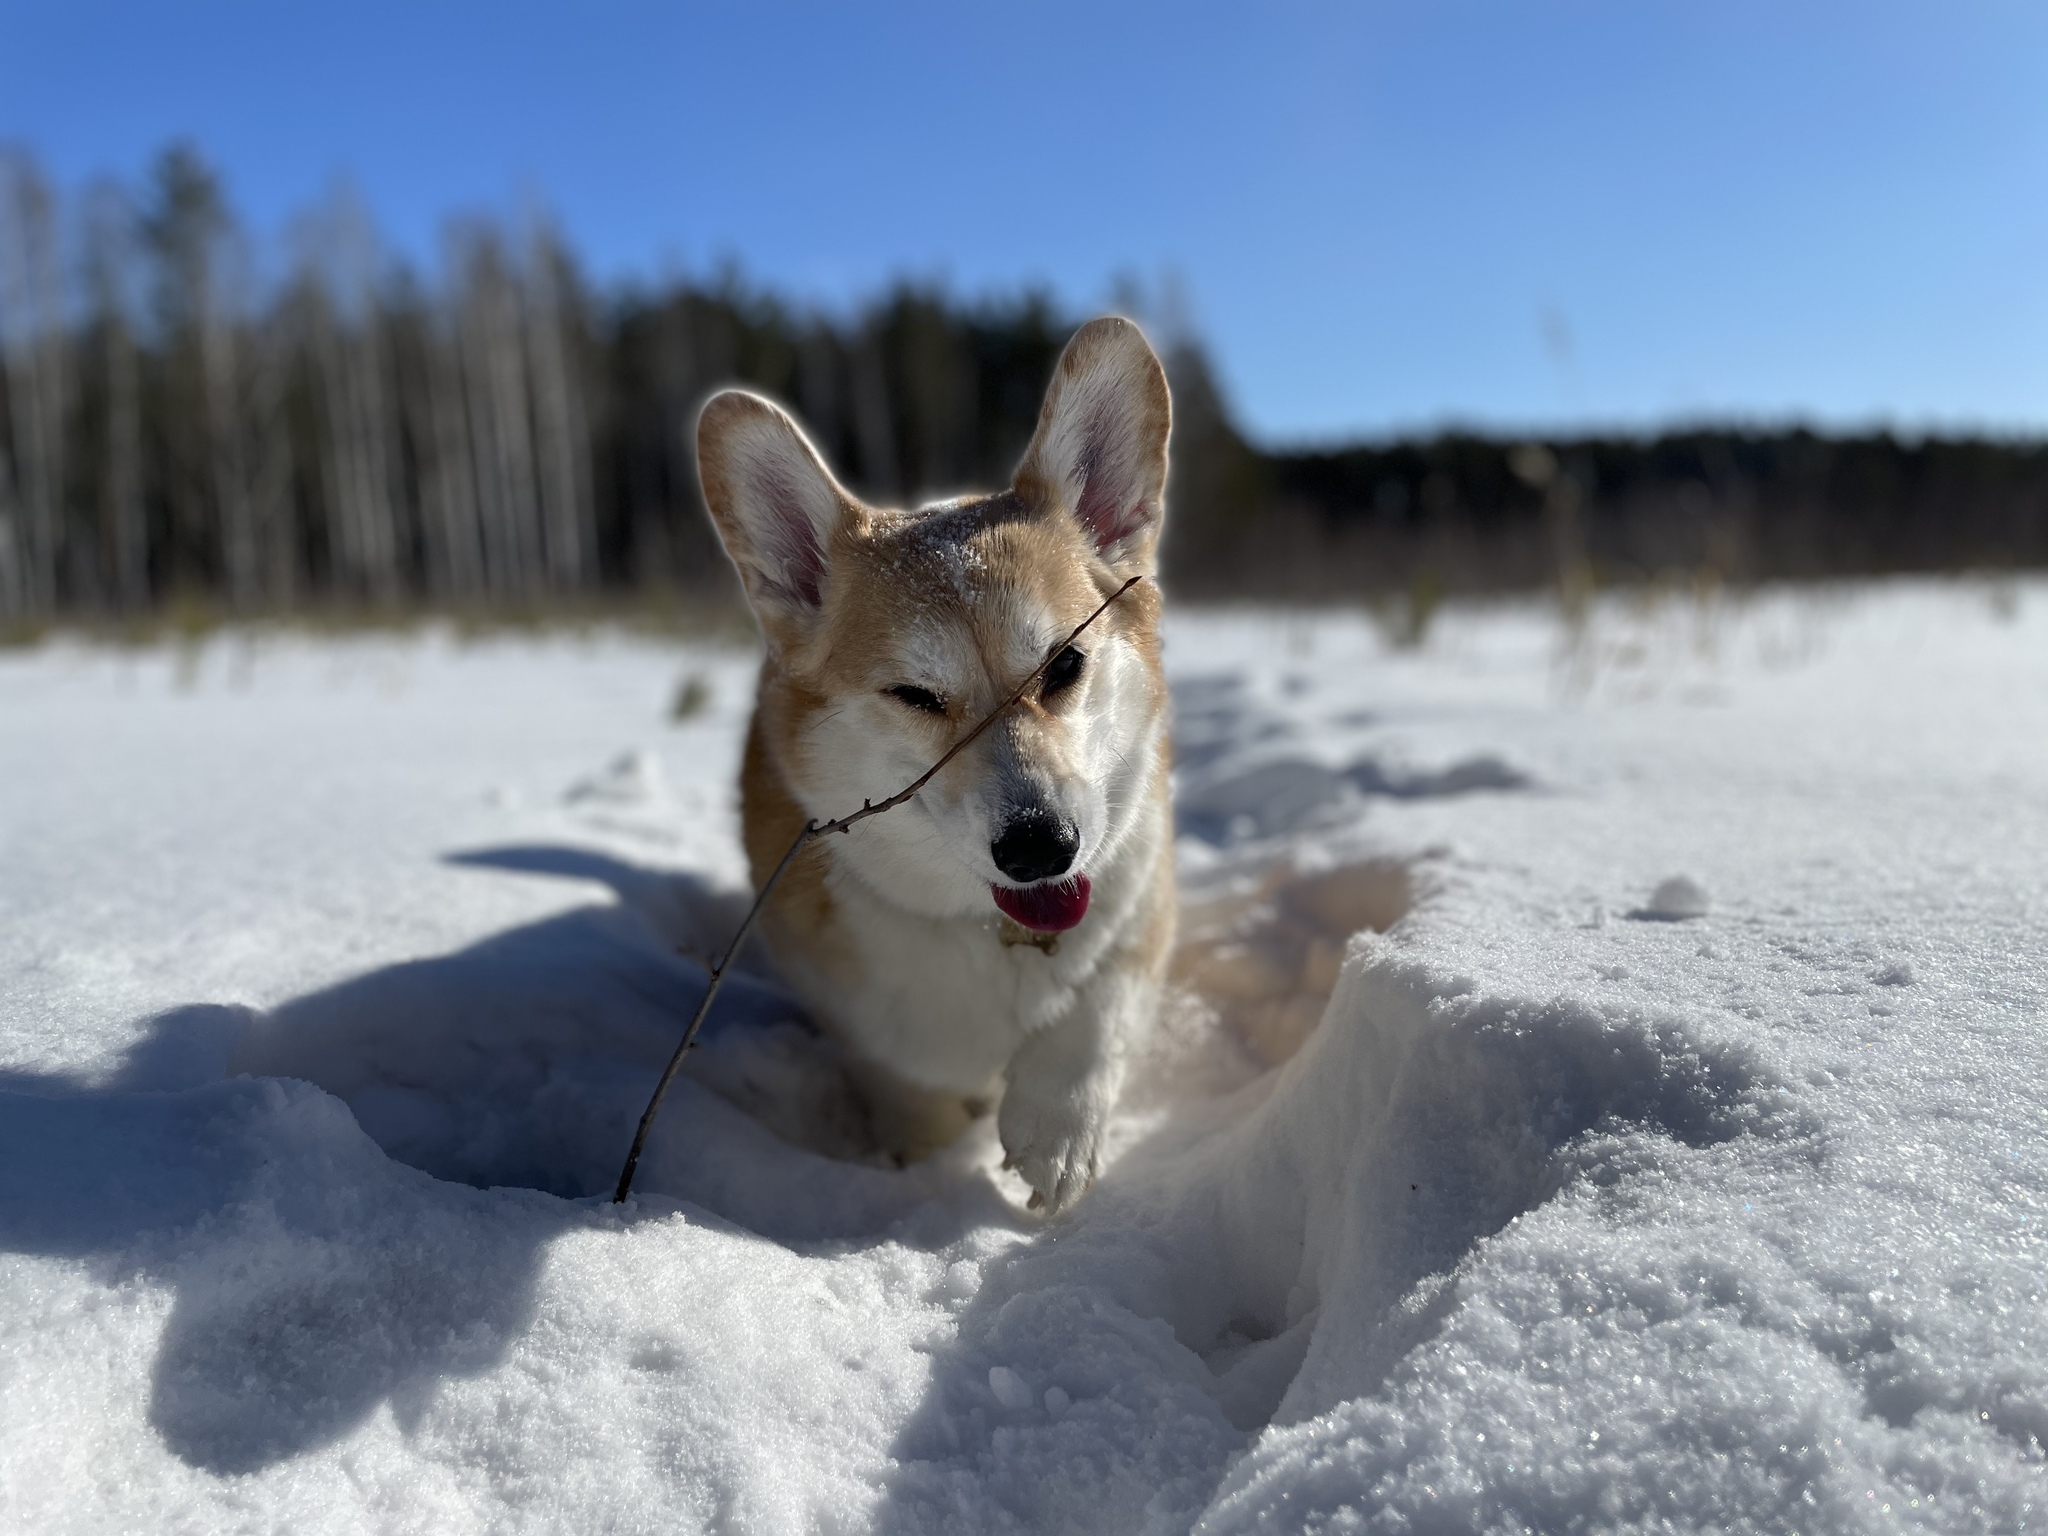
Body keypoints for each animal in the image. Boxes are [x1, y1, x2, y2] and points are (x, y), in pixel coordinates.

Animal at [696, 321, 1179, 1212]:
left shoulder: (1141, 891)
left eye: (1064, 664)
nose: (1040, 847)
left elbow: (1104, 1007)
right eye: (916, 696)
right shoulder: (869, 1036)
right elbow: (911, 1096)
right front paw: (926, 1172)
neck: (995, 929)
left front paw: (1059, 1132)